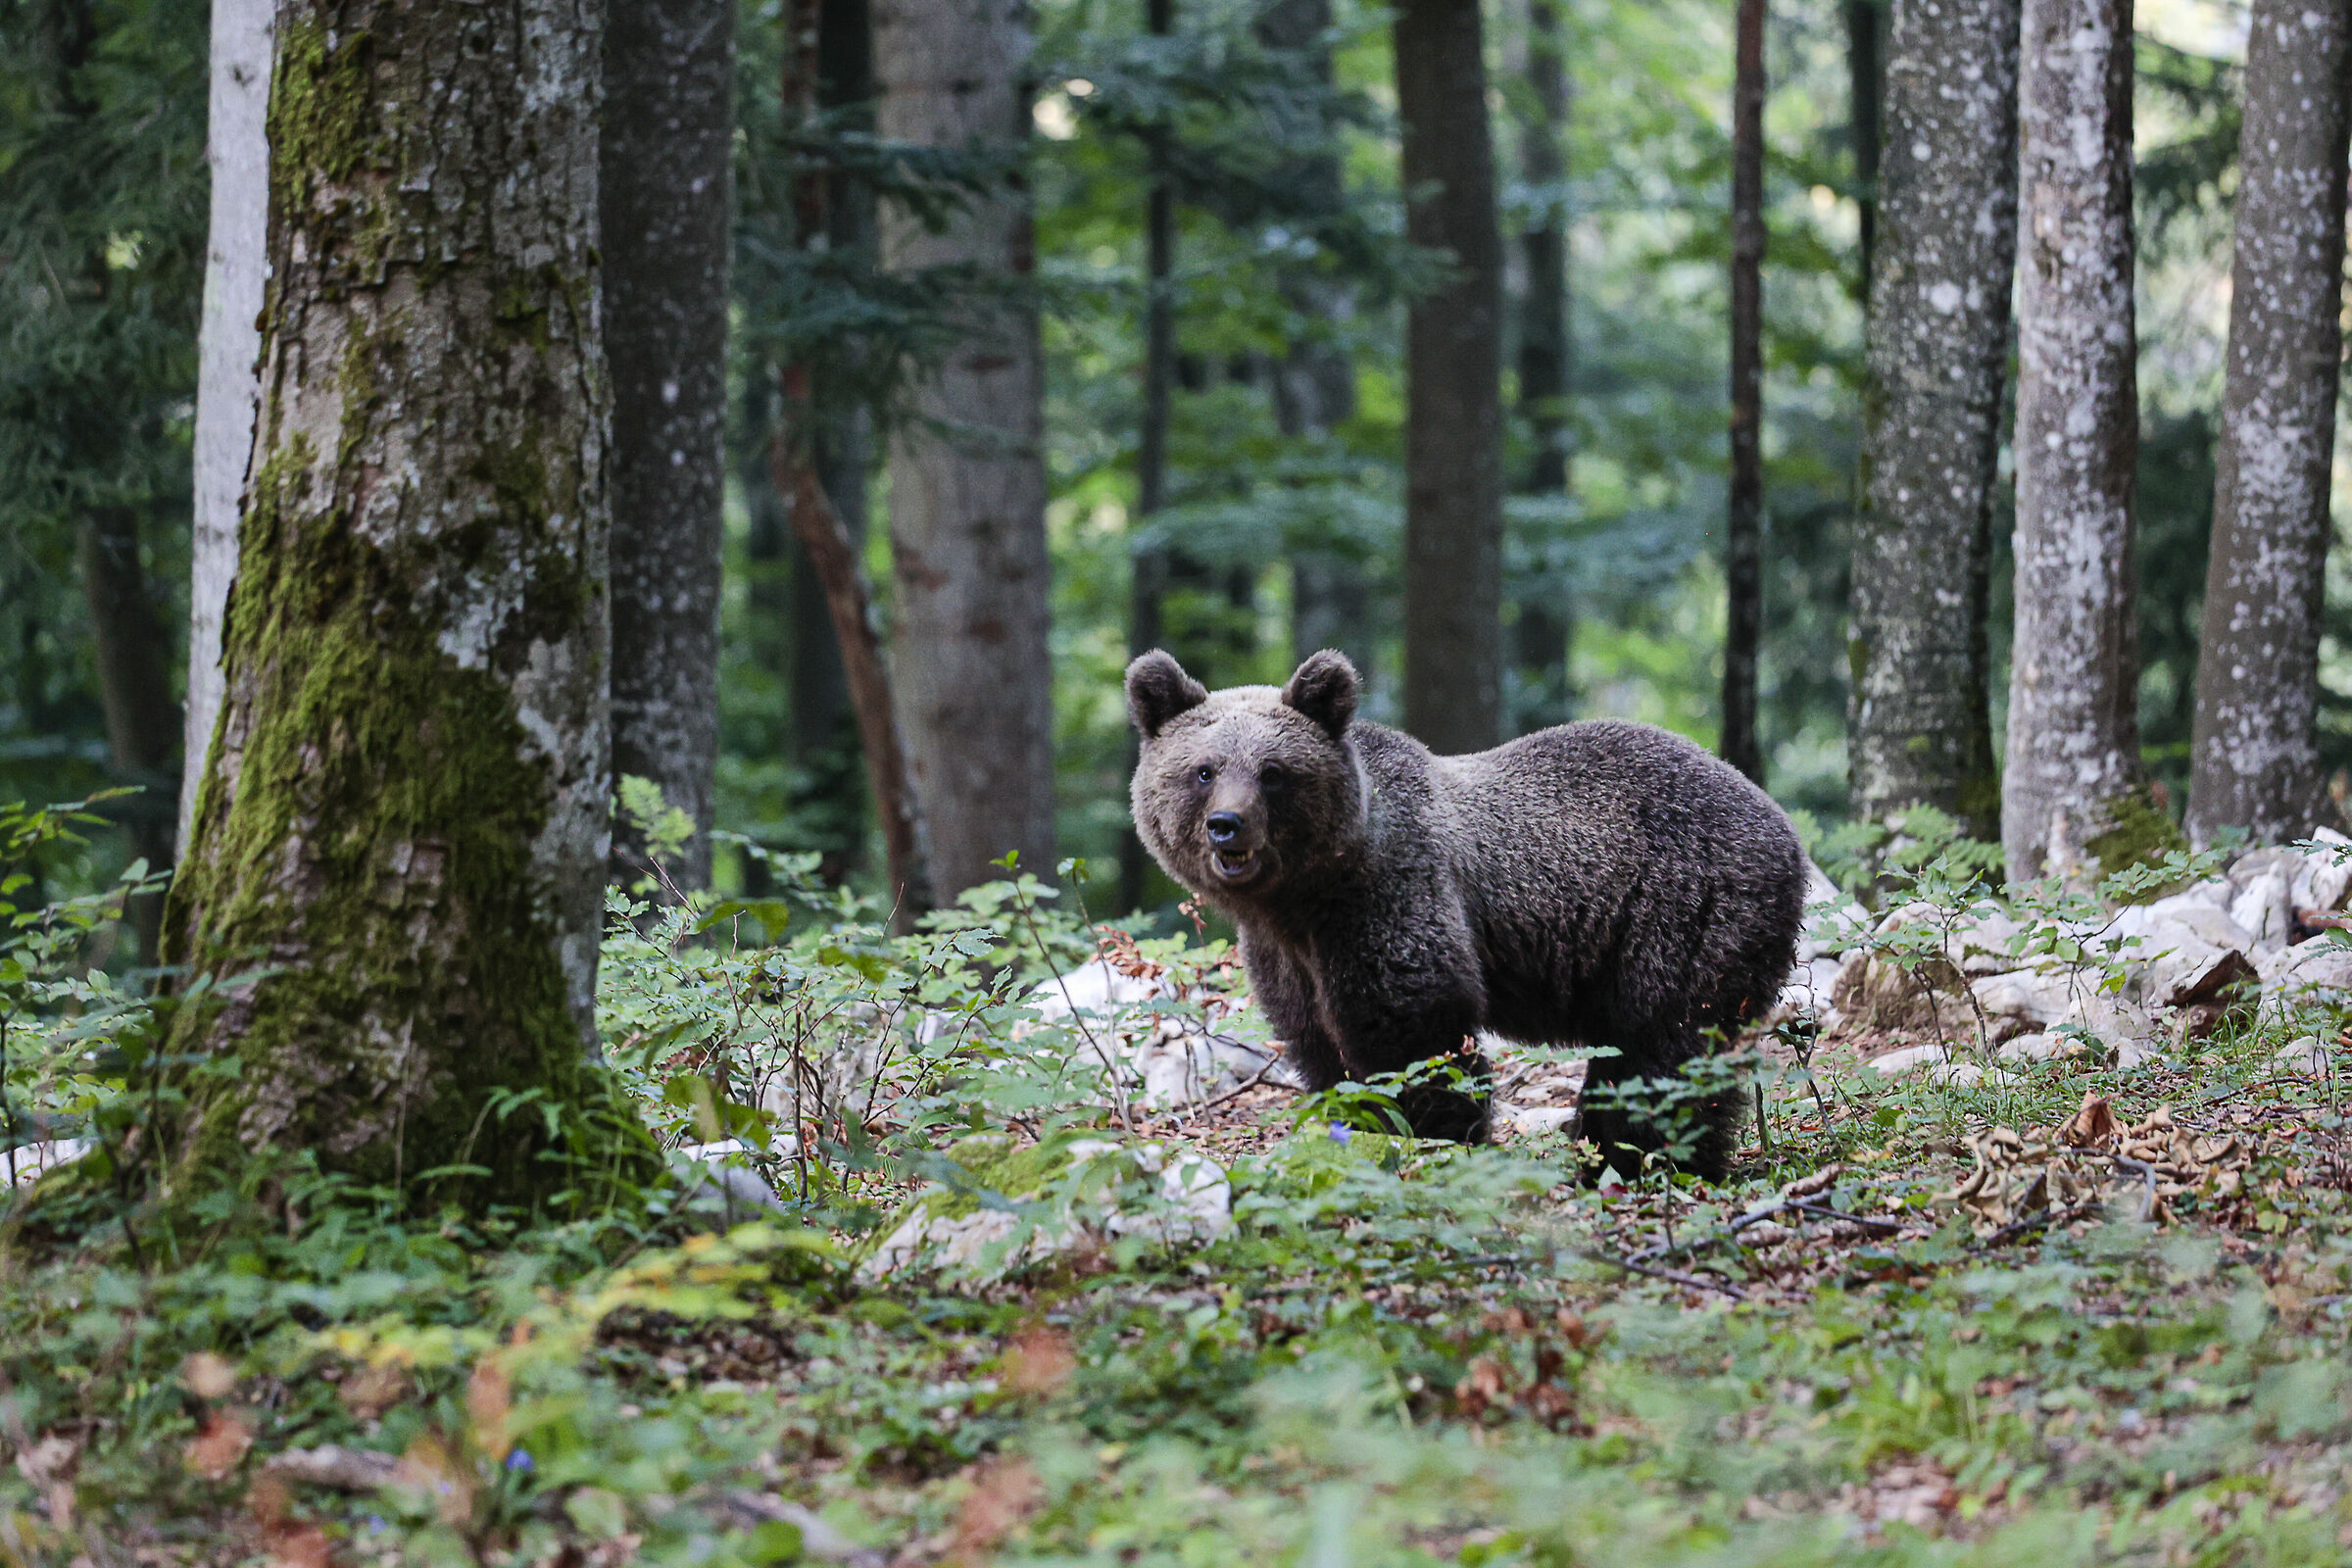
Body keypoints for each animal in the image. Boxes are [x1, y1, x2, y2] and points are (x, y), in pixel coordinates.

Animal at [1125, 647, 1806, 1178]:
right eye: (1203, 770)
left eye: (1273, 772)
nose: (1227, 825)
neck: (1305, 896)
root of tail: (1780, 821)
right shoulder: (1286, 954)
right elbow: (1320, 1046)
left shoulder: (1392, 895)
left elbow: (1417, 1030)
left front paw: (1438, 1138)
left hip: (1682, 912)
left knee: (1665, 1046)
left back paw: (1637, 1159)